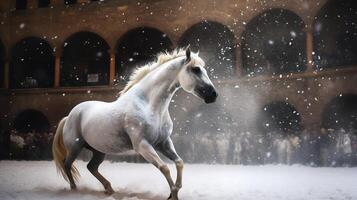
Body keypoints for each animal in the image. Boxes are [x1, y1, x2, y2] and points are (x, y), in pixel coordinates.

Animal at [51, 47, 216, 199]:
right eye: (195, 69)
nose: (213, 95)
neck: (148, 105)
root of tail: (69, 116)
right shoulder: (142, 145)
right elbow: (164, 167)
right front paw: (173, 194)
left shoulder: (163, 142)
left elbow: (179, 162)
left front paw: (174, 191)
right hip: (75, 147)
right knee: (67, 164)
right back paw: (74, 189)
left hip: (98, 150)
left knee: (91, 167)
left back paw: (109, 189)